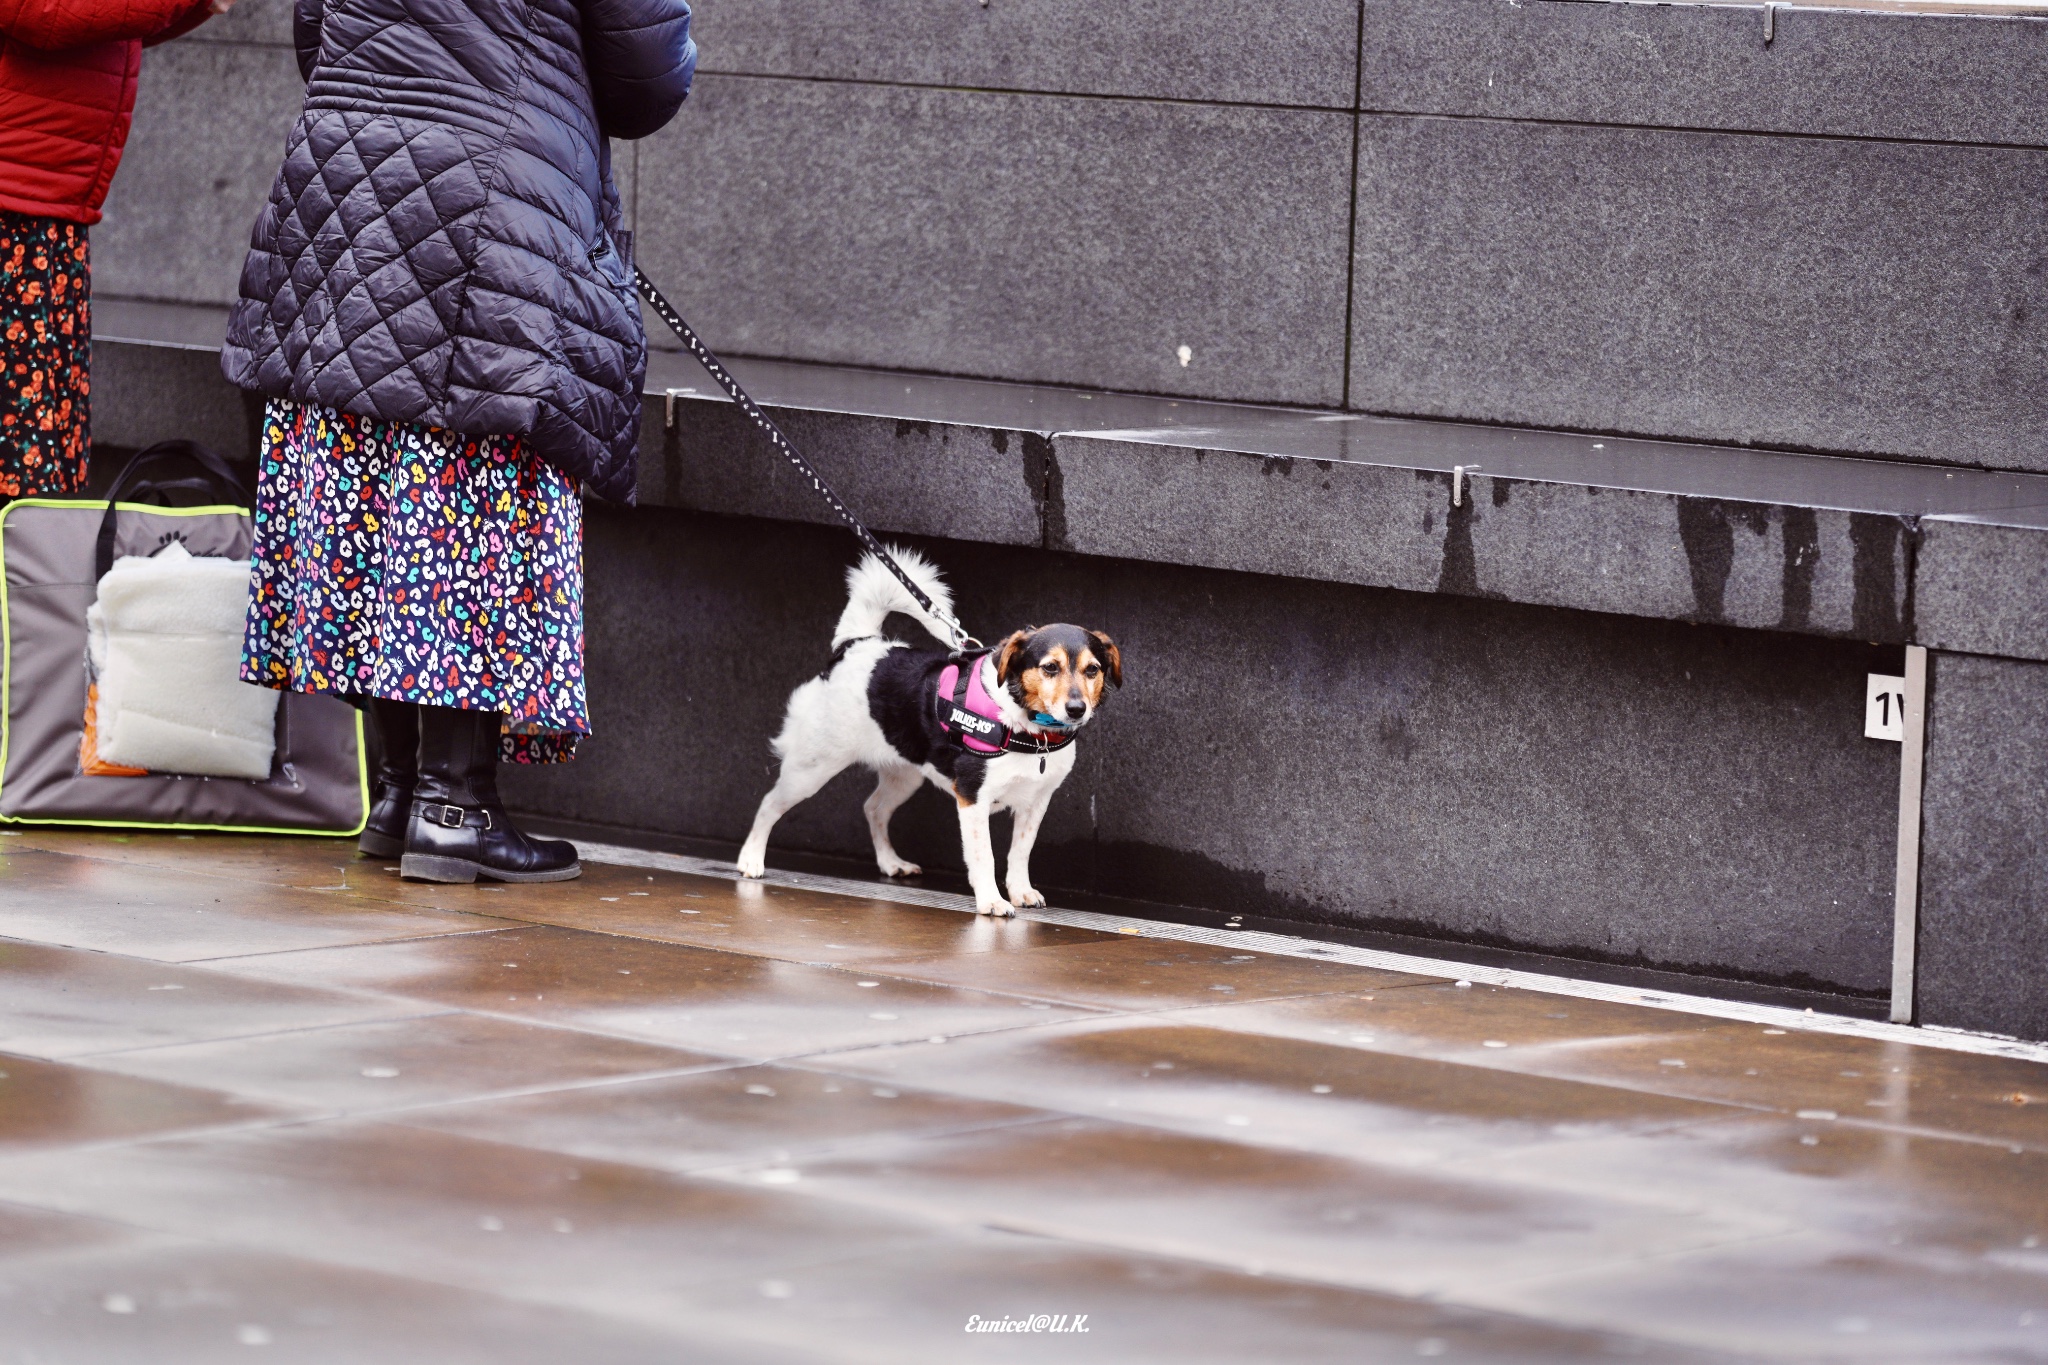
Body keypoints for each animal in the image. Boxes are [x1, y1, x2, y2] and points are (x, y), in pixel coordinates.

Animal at [737, 548, 1122, 916]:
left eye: (1092, 670)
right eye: (1050, 668)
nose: (1077, 709)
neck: (1027, 726)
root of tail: (856, 646)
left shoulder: (1036, 802)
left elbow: (1019, 853)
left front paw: (1020, 891)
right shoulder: (972, 797)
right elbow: (984, 856)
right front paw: (991, 901)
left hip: (903, 774)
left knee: (874, 808)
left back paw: (890, 862)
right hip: (812, 767)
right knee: (769, 803)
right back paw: (751, 859)